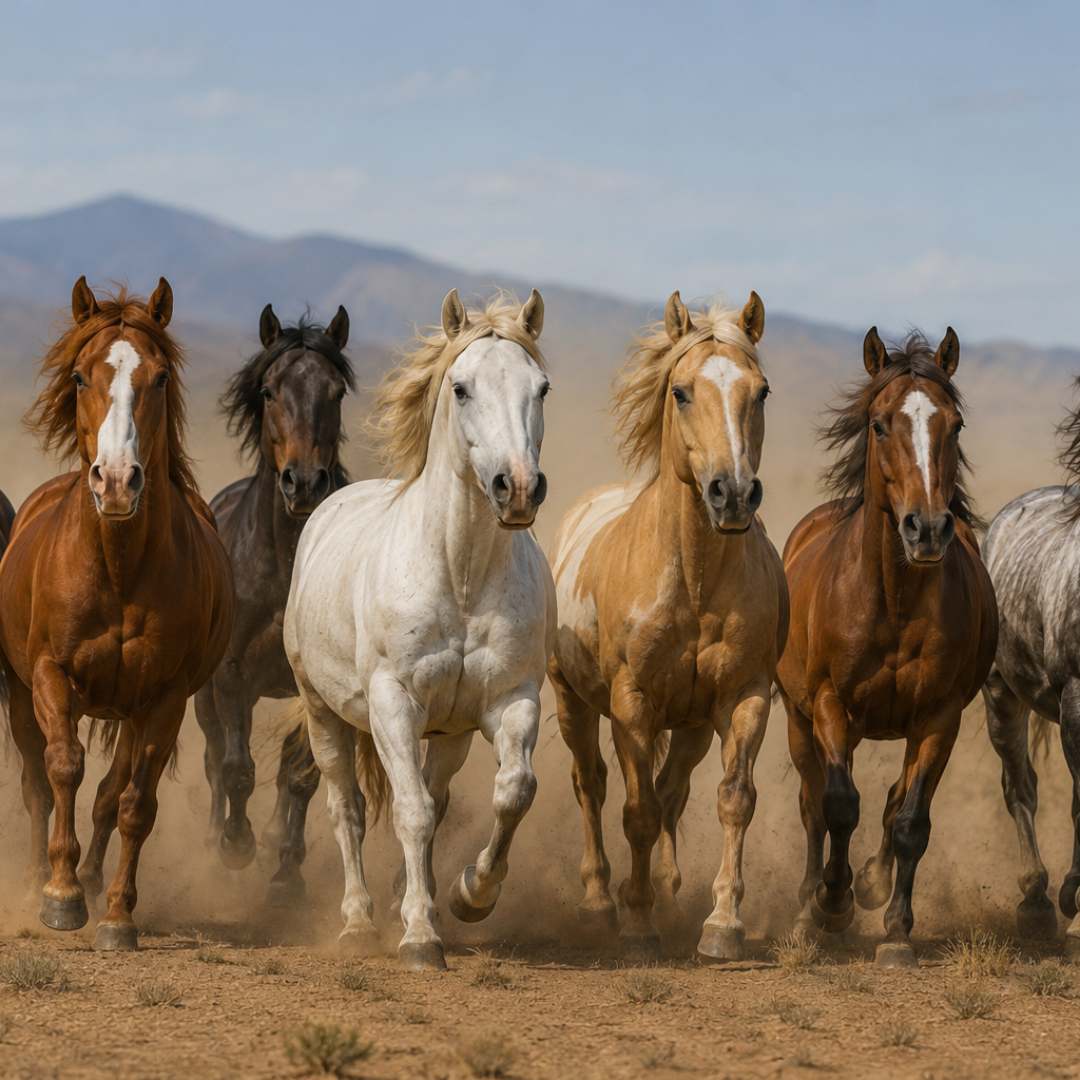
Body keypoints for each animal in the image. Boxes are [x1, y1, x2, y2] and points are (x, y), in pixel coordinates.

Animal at [0, 278, 235, 950]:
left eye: (160, 377)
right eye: (80, 376)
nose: (117, 483)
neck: (119, 568)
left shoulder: (165, 699)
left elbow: (133, 804)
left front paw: (116, 915)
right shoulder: (49, 677)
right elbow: (61, 769)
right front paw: (58, 895)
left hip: (130, 713)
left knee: (110, 794)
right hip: (19, 693)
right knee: (37, 786)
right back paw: (39, 878)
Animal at [193, 304, 354, 906]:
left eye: (336, 391)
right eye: (267, 391)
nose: (303, 482)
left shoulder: (319, 684)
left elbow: (303, 775)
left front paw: (286, 872)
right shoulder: (232, 674)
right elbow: (236, 767)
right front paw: (233, 846)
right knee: (214, 756)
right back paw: (218, 837)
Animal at [283, 288, 554, 970]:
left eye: (541, 387)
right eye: (460, 388)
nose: (518, 488)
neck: (459, 577)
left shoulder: (512, 700)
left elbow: (513, 791)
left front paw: (469, 895)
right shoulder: (392, 703)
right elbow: (409, 813)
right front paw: (419, 938)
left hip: (450, 732)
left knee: (441, 794)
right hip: (322, 711)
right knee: (347, 809)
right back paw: (358, 922)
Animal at [547, 291, 788, 962]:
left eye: (761, 391)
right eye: (681, 391)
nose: (733, 494)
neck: (694, 582)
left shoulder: (744, 697)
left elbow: (732, 800)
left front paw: (722, 923)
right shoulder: (631, 704)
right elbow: (637, 811)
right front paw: (636, 925)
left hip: (693, 725)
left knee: (672, 789)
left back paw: (668, 885)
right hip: (573, 701)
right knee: (592, 784)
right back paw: (600, 900)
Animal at [776, 328, 997, 968]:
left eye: (956, 424)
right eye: (878, 424)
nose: (927, 529)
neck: (893, 601)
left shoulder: (939, 718)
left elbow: (910, 821)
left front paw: (896, 929)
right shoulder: (830, 706)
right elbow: (837, 804)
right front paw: (831, 903)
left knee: (892, 800)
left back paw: (870, 882)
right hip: (799, 718)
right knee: (813, 802)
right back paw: (809, 903)